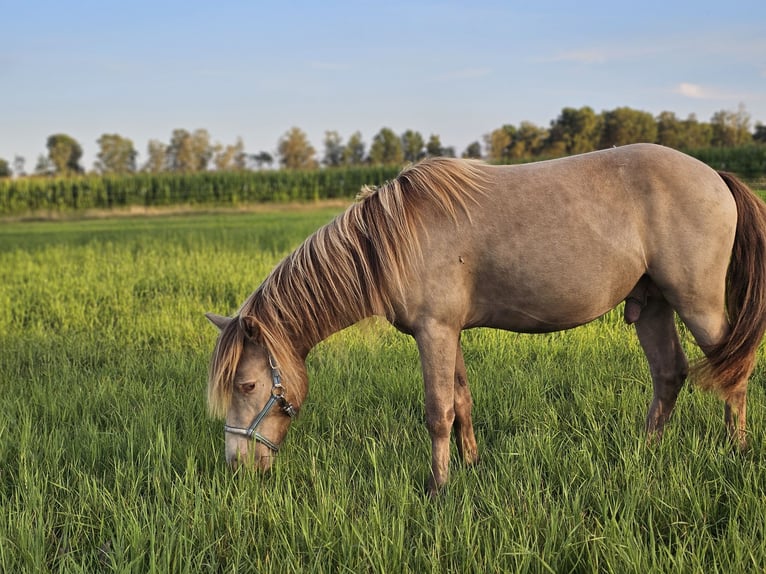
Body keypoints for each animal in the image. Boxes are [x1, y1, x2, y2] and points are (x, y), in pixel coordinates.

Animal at [207, 144, 766, 496]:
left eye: (248, 385)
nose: (237, 468)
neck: (391, 237)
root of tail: (716, 176)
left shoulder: (434, 332)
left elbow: (438, 412)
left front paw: (437, 489)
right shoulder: (449, 333)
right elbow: (462, 402)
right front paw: (471, 467)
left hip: (698, 304)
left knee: (732, 372)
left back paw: (737, 452)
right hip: (651, 305)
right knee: (669, 374)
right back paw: (646, 452)